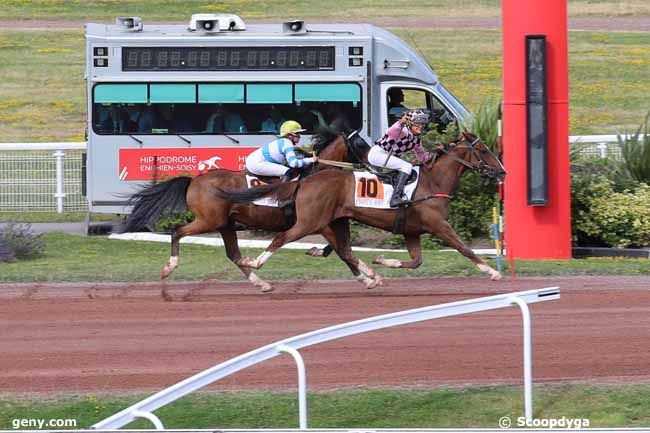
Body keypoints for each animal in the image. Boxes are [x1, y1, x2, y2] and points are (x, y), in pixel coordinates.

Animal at [119, 128, 378, 290]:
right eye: (360, 142)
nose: (373, 162)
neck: (316, 175)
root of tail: (194, 180)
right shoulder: (318, 223)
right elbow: (343, 251)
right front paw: (370, 278)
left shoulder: (324, 222)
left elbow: (340, 250)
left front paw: (365, 276)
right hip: (208, 221)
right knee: (177, 231)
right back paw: (169, 267)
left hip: (225, 224)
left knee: (233, 255)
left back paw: (260, 283)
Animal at [215, 131, 504, 280]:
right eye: (485, 150)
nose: (502, 172)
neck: (433, 183)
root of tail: (307, 180)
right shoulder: (438, 225)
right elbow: (464, 248)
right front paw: (491, 271)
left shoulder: (411, 231)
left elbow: (416, 261)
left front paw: (382, 260)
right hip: (310, 221)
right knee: (281, 238)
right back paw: (254, 263)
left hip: (335, 220)